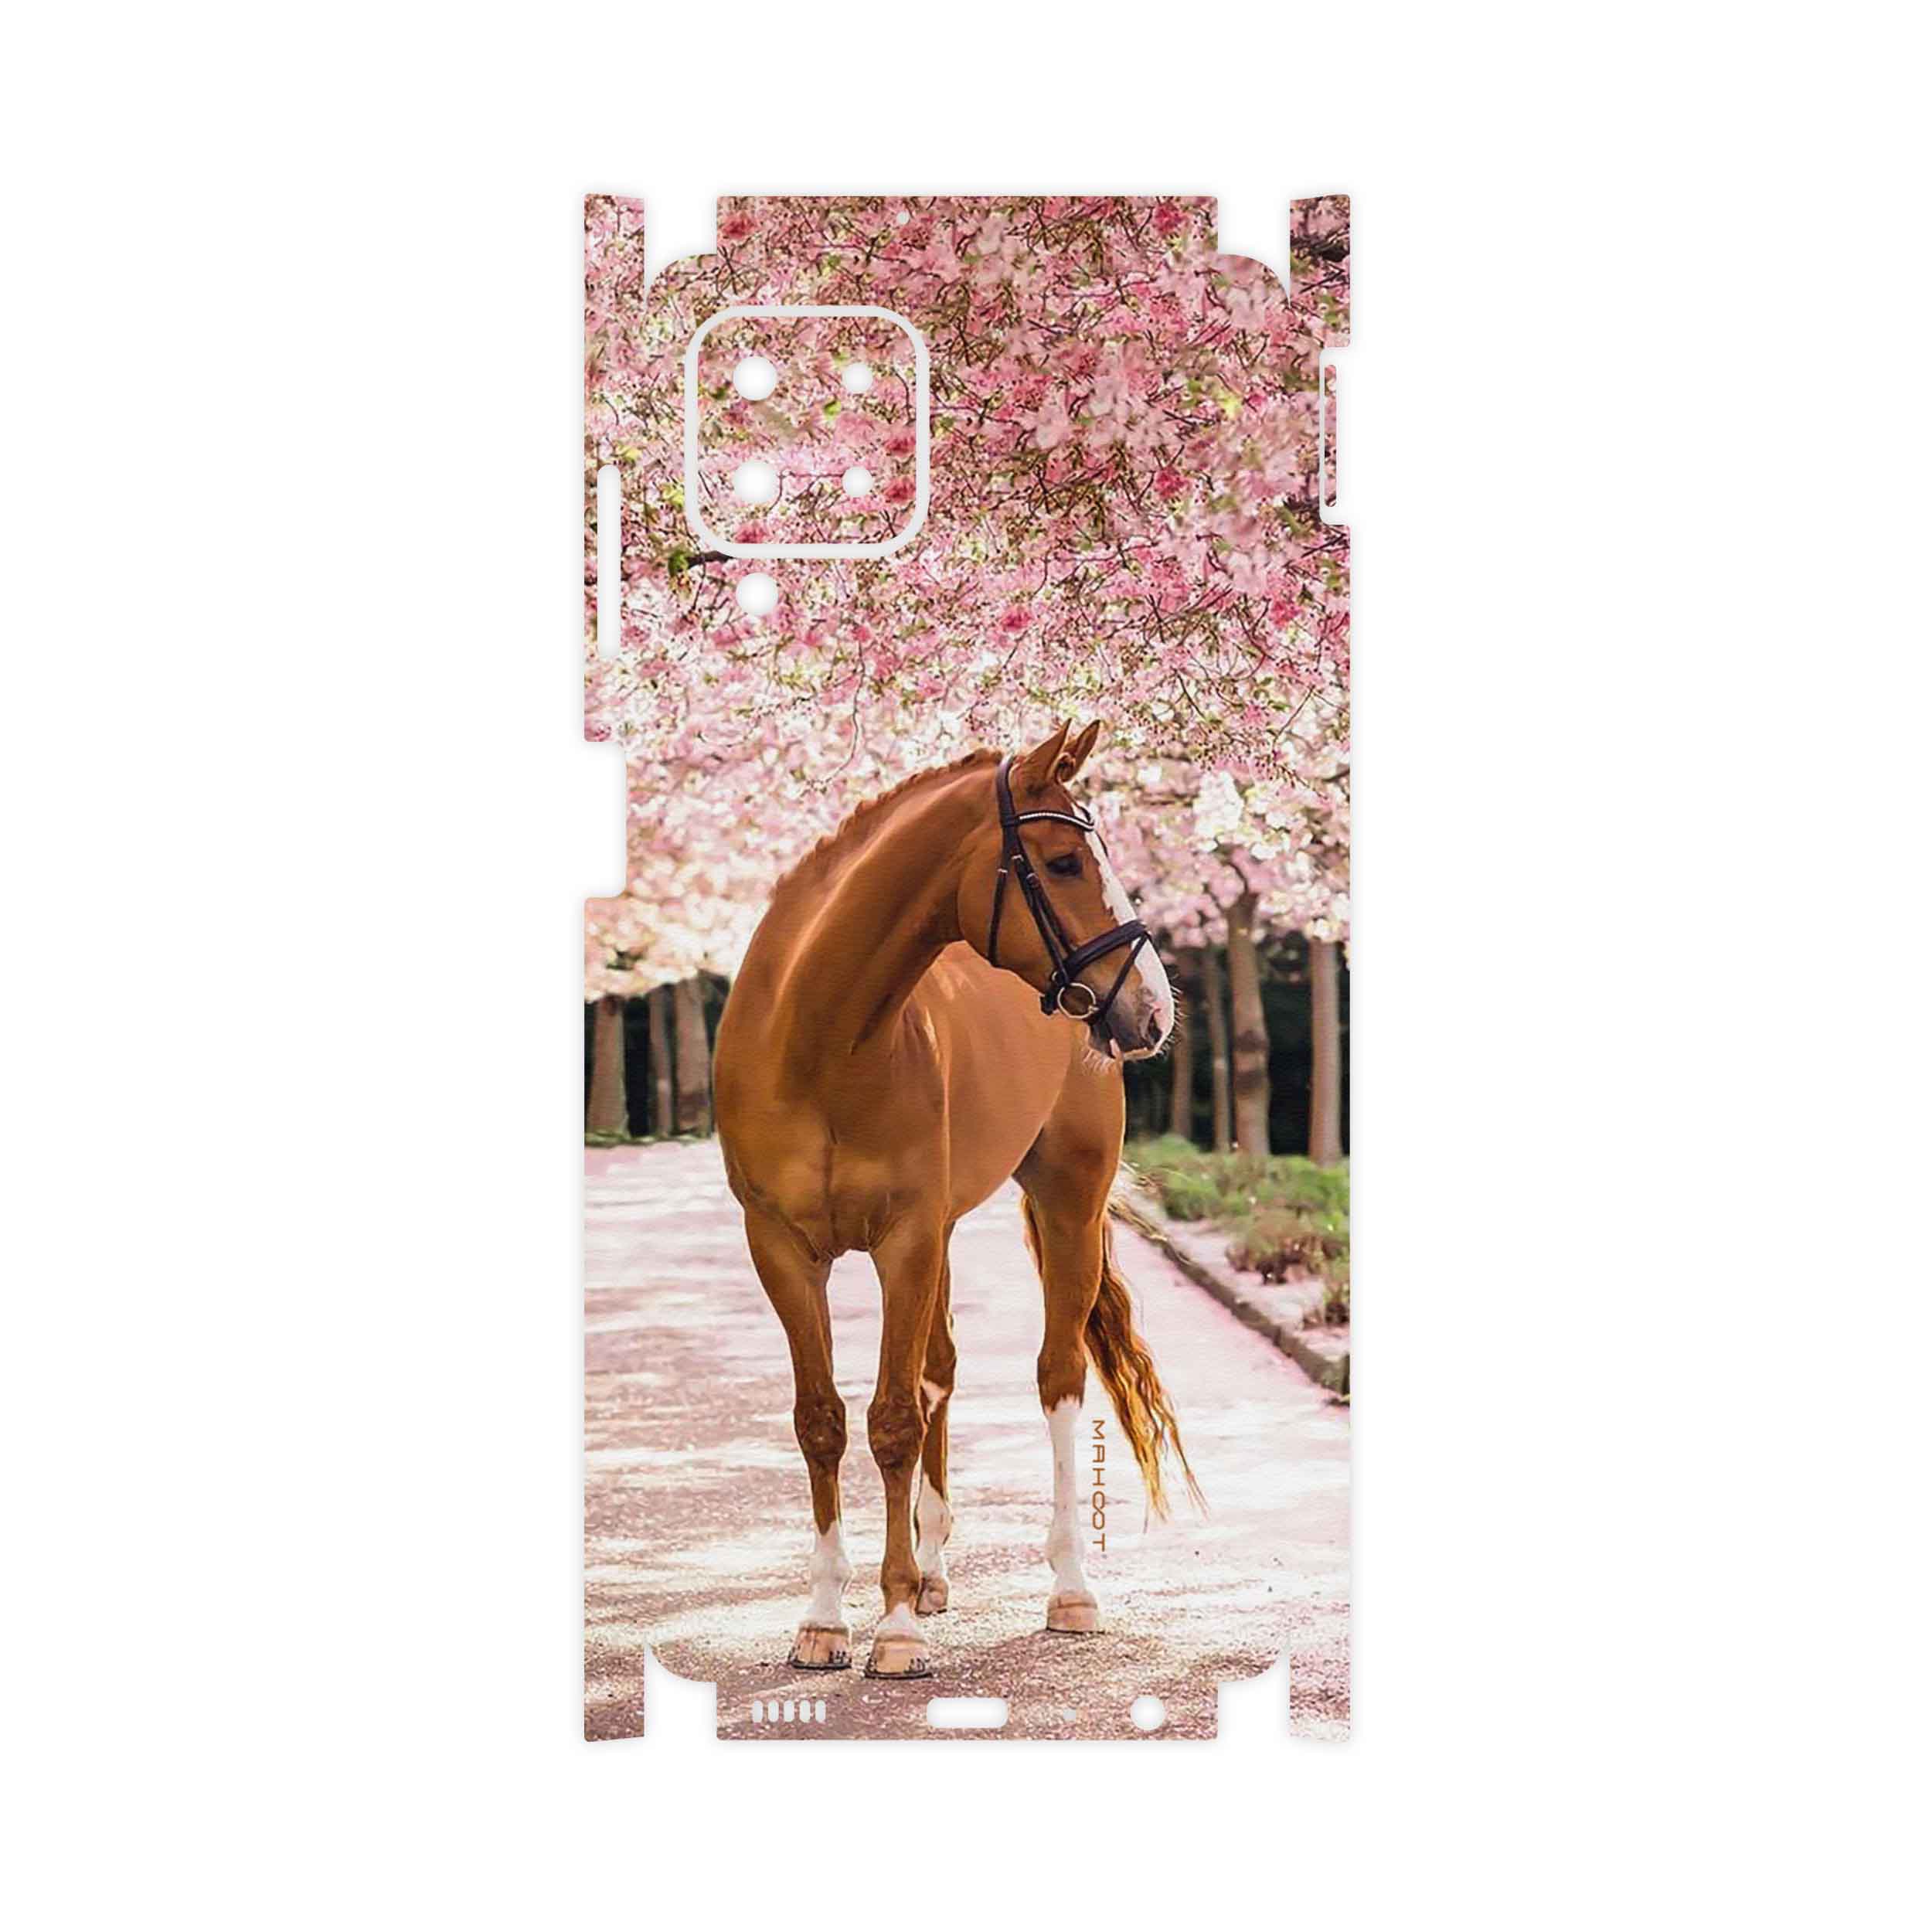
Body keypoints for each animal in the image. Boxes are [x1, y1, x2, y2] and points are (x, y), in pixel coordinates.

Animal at [714, 720, 1197, 1680]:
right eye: (1061, 862)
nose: (1153, 1009)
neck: (818, 1040)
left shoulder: (903, 1238)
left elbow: (893, 1419)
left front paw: (894, 1628)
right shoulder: (782, 1248)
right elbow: (822, 1420)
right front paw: (825, 1619)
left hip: (1066, 1204)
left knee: (1056, 1377)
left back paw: (1067, 1589)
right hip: (940, 1234)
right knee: (939, 1370)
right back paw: (934, 1572)